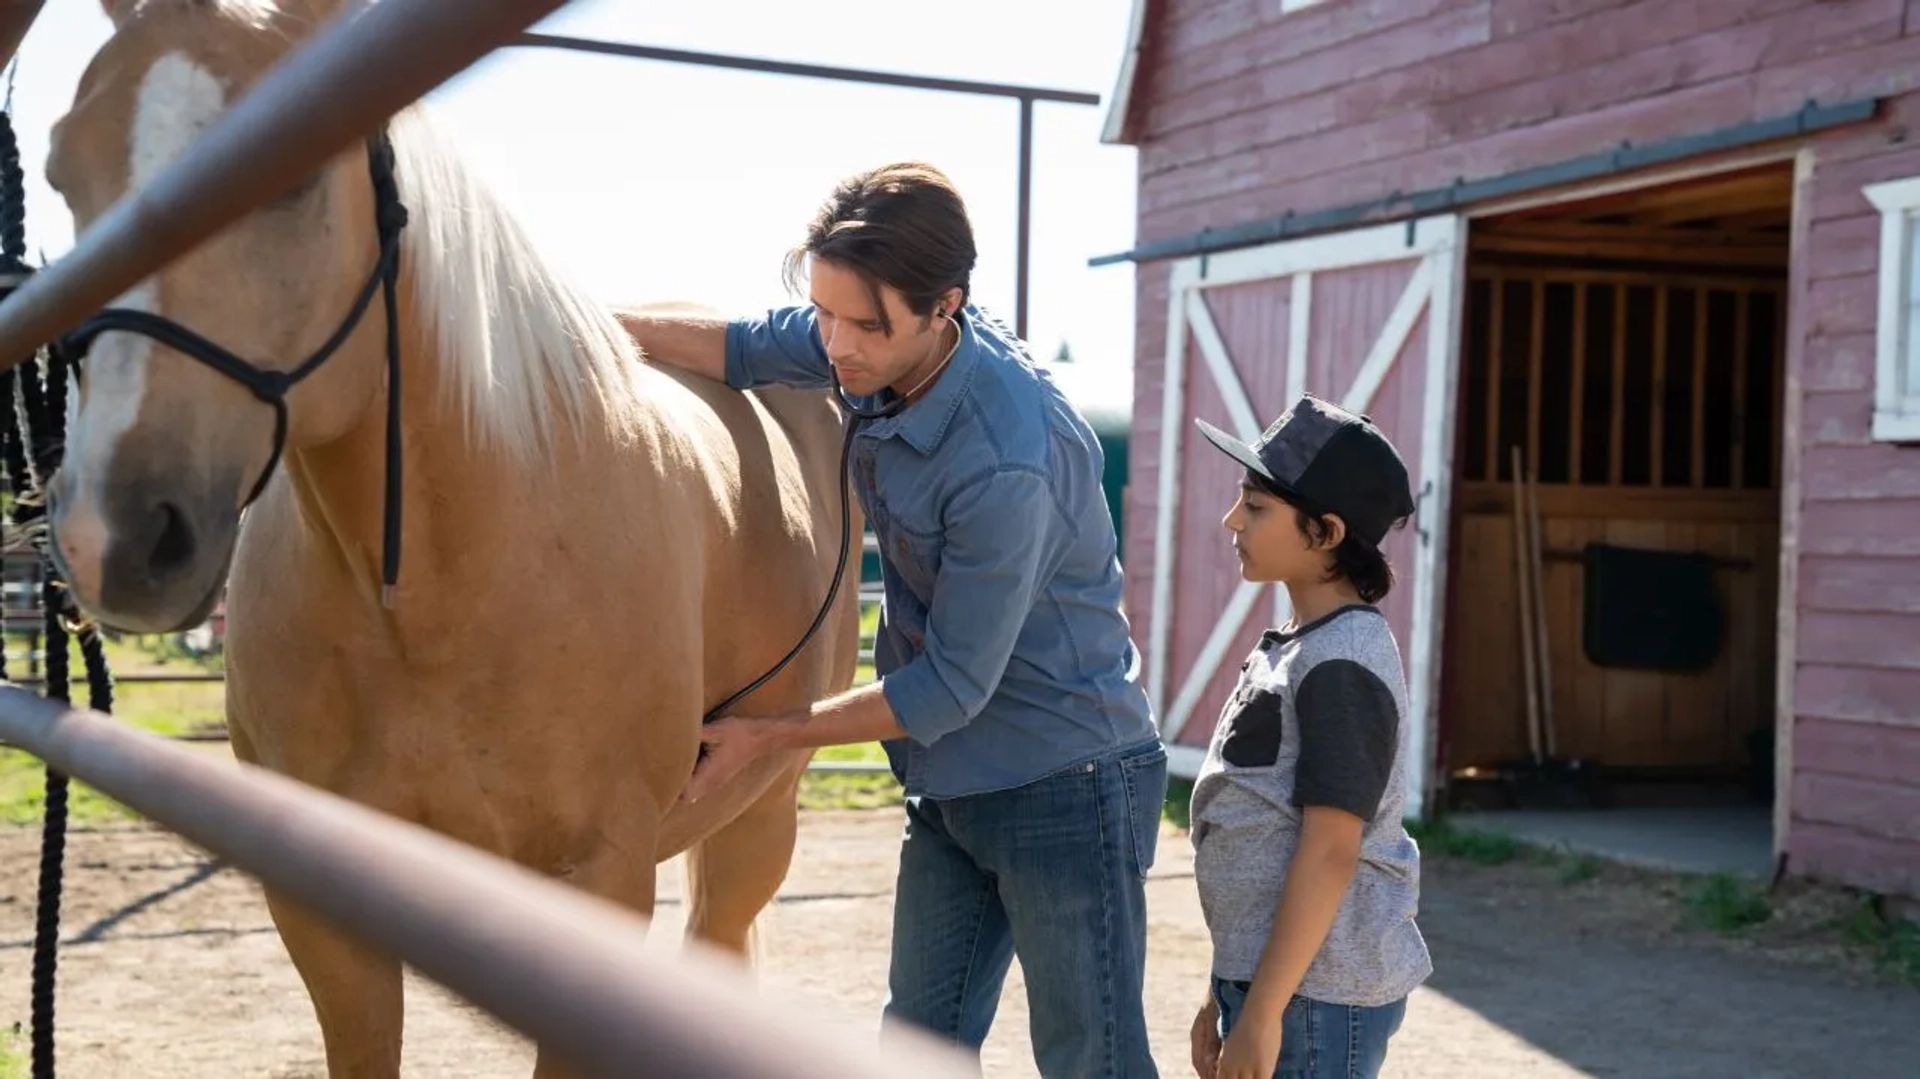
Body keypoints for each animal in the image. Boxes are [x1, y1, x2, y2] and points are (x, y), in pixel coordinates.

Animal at [41, 2, 864, 1067]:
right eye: (63, 171)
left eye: (294, 171)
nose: (112, 532)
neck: (432, 586)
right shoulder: (325, 912)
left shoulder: (598, 887)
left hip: (758, 822)